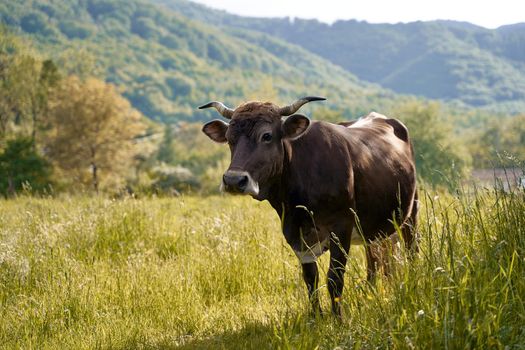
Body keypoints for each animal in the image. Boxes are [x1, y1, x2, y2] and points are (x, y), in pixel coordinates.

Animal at [201, 97, 418, 316]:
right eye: (229, 138)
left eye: (267, 136)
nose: (233, 180)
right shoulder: (294, 232)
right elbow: (310, 278)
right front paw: (316, 317)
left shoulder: (341, 226)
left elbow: (334, 278)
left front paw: (337, 318)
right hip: (374, 229)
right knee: (376, 260)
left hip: (411, 213)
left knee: (410, 252)